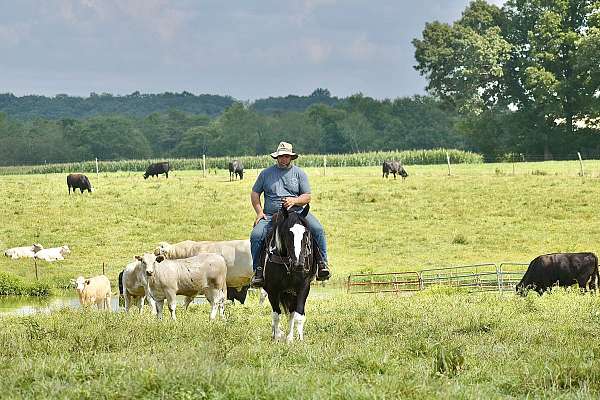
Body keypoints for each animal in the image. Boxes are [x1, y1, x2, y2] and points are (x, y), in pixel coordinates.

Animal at [262, 205, 318, 342]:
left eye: (306, 233)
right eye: (288, 233)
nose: (299, 264)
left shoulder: (303, 287)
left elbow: (298, 315)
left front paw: (298, 339)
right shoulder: (272, 290)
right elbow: (276, 314)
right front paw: (277, 337)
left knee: (292, 313)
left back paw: (290, 337)